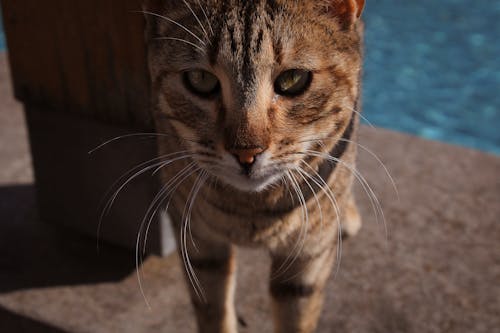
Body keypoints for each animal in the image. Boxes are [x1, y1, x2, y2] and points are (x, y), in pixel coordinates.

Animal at [143, 1, 366, 330]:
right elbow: (213, 311)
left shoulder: (307, 259)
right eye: (200, 79)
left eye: (293, 79)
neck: (251, 210)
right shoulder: (200, 243)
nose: (246, 153)